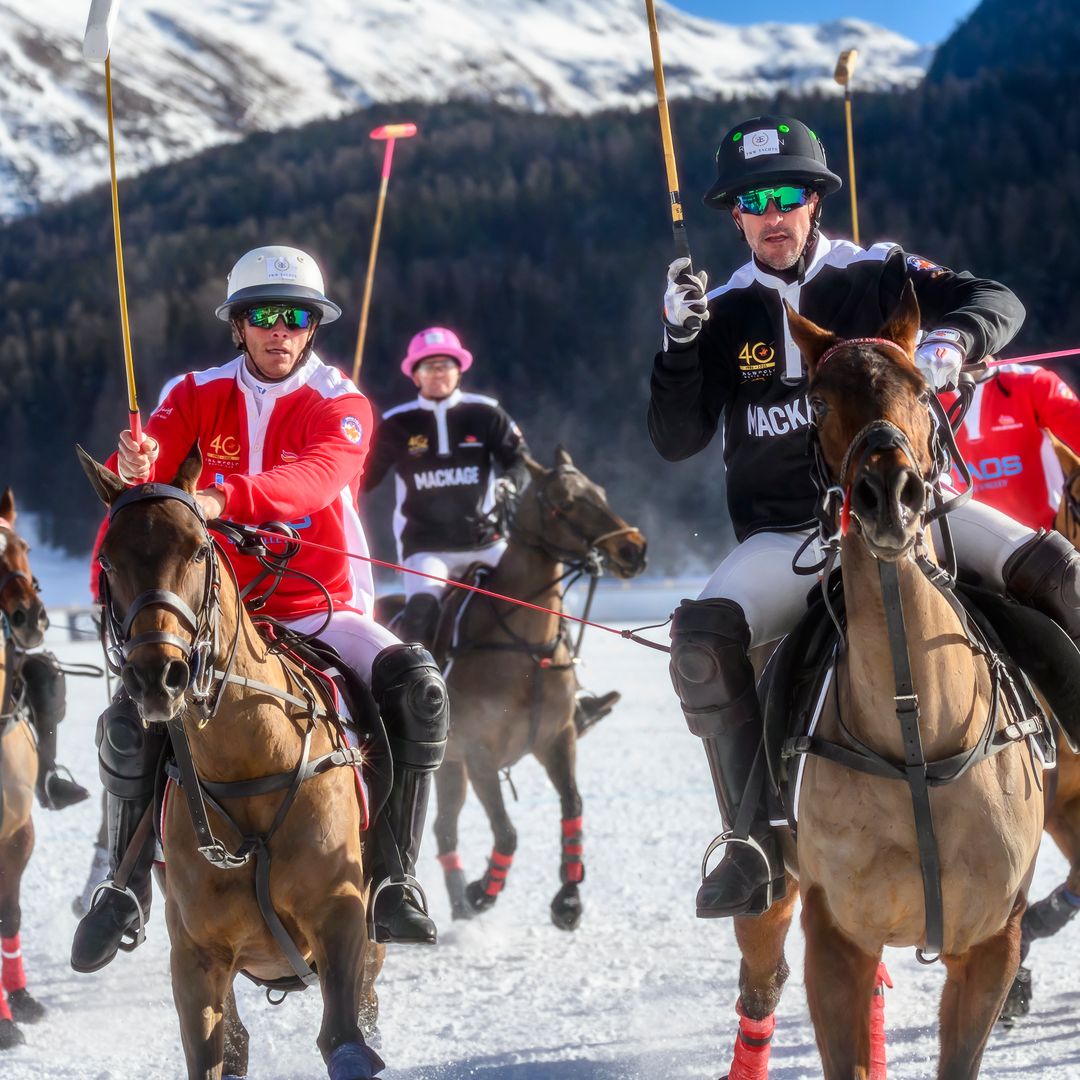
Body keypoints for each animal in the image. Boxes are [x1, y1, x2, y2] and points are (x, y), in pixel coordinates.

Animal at [79, 449, 386, 1080]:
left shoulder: (341, 919)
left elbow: (346, 1039)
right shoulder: (197, 956)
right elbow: (214, 1056)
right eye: (108, 559)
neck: (248, 766)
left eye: (199, 548)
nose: (158, 676)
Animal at [429, 447, 643, 928]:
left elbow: (573, 805)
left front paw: (568, 900)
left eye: (600, 491)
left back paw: (457, 905)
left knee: (444, 826)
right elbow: (507, 831)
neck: (525, 645)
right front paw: (483, 891)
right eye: (564, 501)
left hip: (450, 764)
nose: (633, 549)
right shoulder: (480, 752)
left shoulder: (556, 738)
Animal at [725, 289, 1045, 1080]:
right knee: (761, 981)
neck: (916, 727)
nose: (887, 494)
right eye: (815, 399)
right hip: (771, 892)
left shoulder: (990, 942)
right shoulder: (836, 937)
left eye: (924, 385)